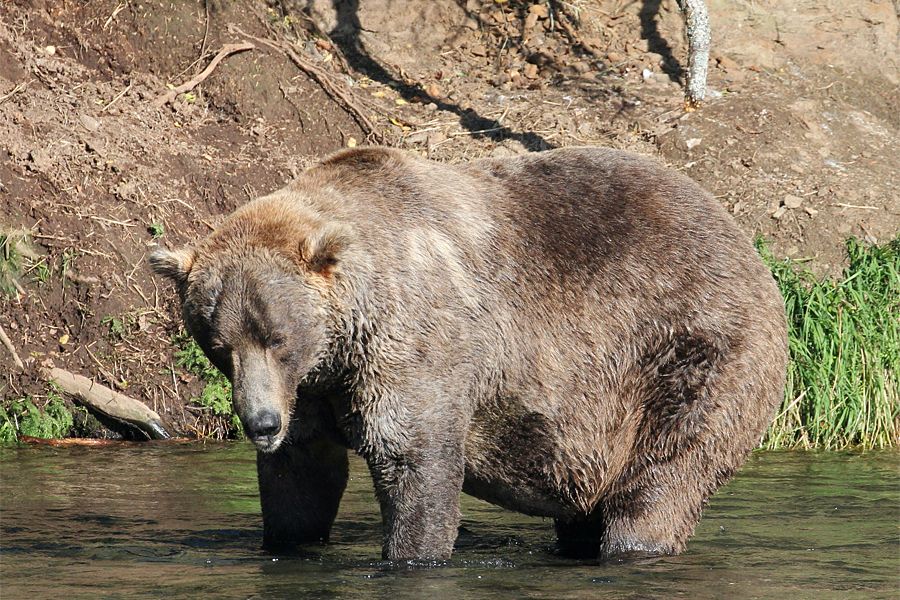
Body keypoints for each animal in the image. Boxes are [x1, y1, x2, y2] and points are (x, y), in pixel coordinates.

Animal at [149, 146, 788, 561]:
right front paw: (289, 539)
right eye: (219, 344)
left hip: (689, 351)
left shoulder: (416, 346)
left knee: (663, 477)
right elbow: (302, 476)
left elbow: (415, 459)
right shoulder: (314, 390)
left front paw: (412, 553)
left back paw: (635, 543)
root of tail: (746, 243)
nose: (260, 423)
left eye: (277, 338)